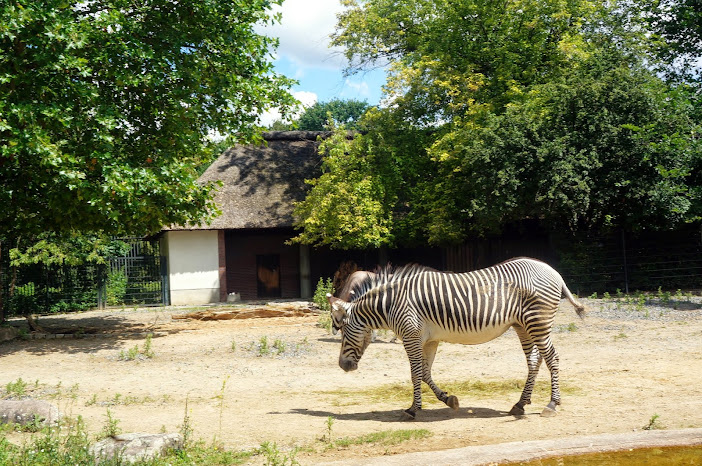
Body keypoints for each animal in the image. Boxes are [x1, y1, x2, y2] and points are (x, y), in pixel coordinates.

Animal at [328, 256, 584, 420]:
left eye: (343, 331)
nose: (342, 366)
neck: (393, 303)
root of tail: (553, 272)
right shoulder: (429, 340)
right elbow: (425, 373)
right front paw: (448, 399)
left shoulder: (411, 336)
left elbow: (415, 373)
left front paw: (413, 409)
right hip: (523, 325)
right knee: (534, 361)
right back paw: (520, 404)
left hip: (538, 321)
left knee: (552, 358)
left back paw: (552, 404)